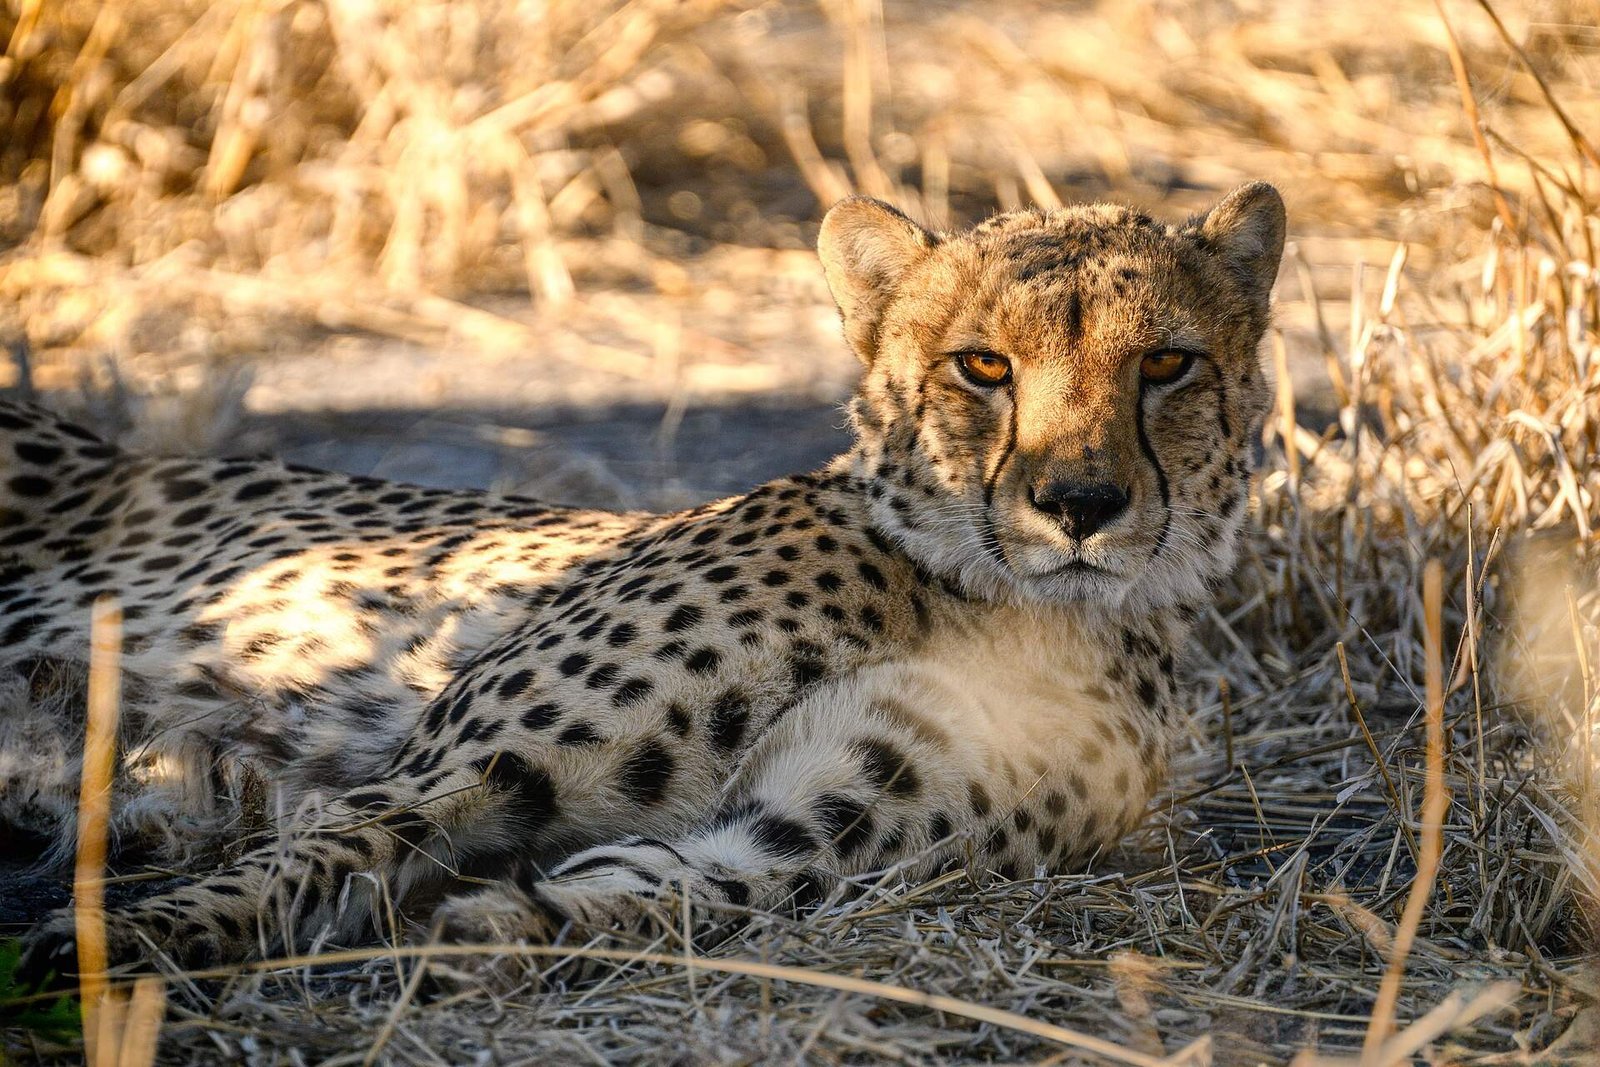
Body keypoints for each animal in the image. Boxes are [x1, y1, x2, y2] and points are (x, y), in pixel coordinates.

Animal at [4, 181, 1284, 982]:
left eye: (1165, 363)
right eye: (983, 365)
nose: (1081, 505)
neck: (992, 598)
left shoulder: (807, 835)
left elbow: (678, 886)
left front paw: (499, 921)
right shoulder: (445, 765)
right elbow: (311, 849)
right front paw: (119, 943)